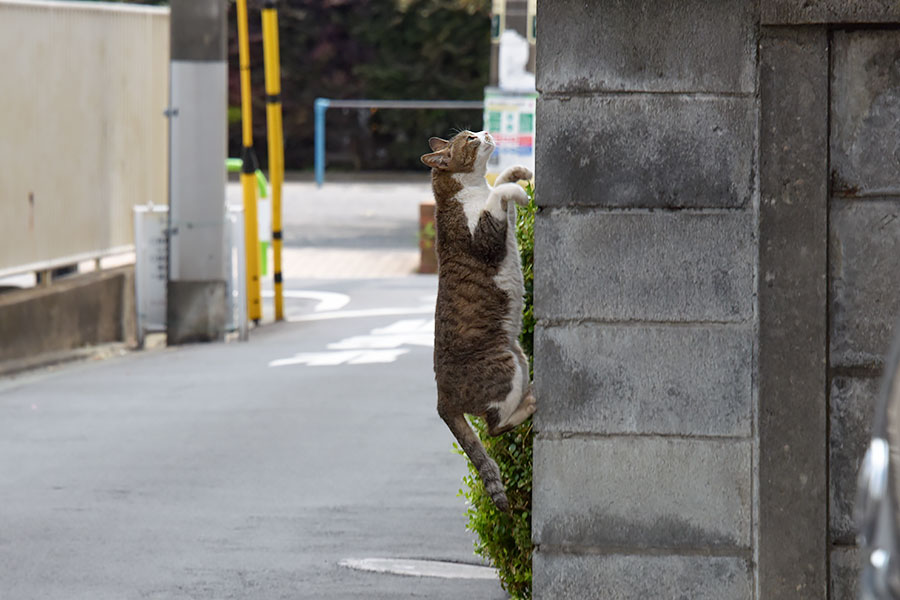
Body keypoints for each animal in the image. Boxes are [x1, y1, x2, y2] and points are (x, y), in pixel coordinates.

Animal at [420, 131, 536, 510]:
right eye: (469, 139)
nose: (487, 133)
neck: (470, 190)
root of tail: (441, 399)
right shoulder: (484, 233)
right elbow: (499, 196)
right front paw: (520, 191)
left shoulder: (503, 221)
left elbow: (499, 186)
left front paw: (517, 173)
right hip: (504, 364)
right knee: (494, 427)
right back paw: (530, 404)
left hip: (519, 356)